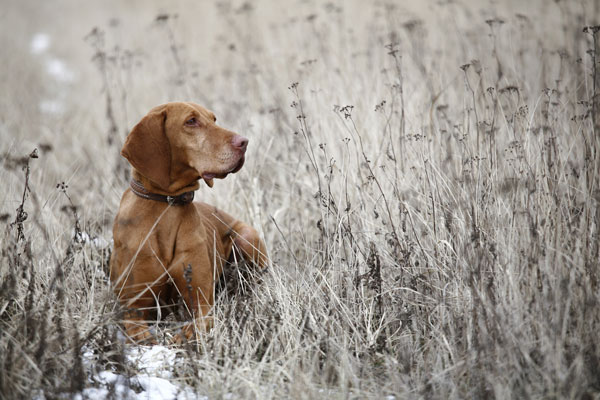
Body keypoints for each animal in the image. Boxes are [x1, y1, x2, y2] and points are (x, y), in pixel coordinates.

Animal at [109, 101, 268, 342]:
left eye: (214, 119)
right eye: (191, 121)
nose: (244, 142)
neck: (167, 206)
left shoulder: (202, 304)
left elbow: (193, 327)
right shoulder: (133, 308)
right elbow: (140, 332)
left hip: (247, 237)